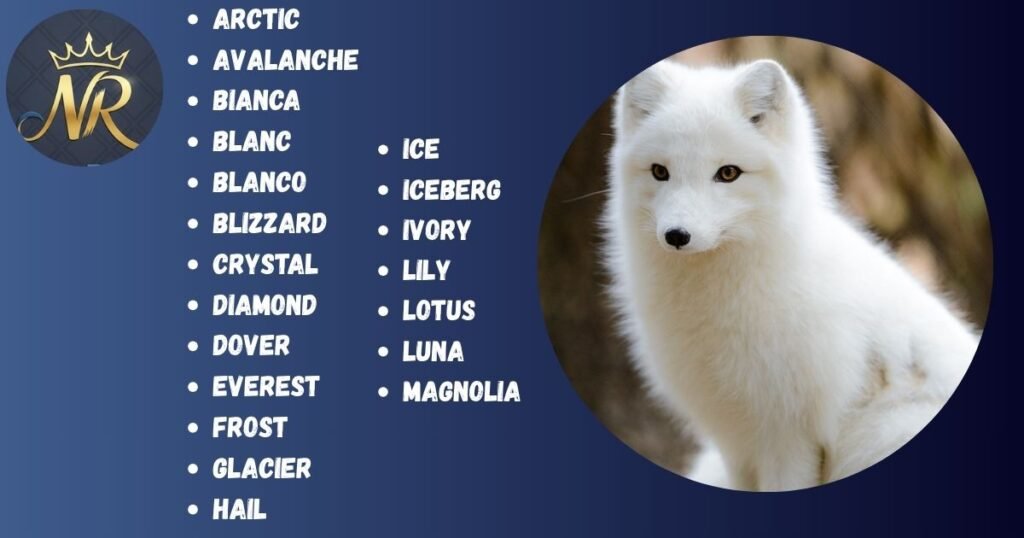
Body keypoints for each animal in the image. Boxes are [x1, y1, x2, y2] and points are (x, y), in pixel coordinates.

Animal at [603, 58, 980, 491]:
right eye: (659, 172)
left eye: (728, 173)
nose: (677, 236)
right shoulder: (736, 440)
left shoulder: (789, 434)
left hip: (881, 431)